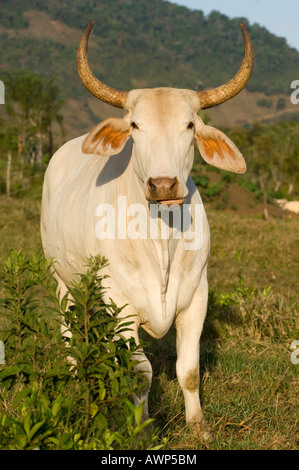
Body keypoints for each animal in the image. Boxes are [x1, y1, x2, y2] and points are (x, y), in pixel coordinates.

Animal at [41, 20, 254, 436]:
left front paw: (198, 425)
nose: (163, 185)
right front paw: (140, 427)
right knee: (68, 330)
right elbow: (141, 372)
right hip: (61, 280)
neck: (161, 241)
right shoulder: (121, 302)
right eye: (136, 125)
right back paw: (75, 376)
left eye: (189, 124)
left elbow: (188, 370)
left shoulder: (197, 297)